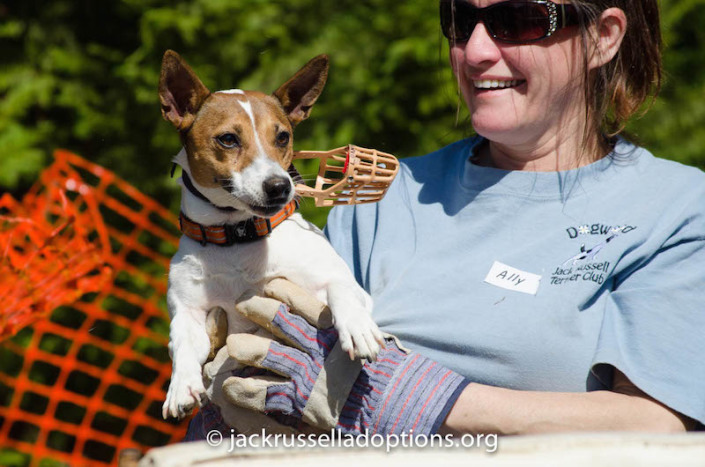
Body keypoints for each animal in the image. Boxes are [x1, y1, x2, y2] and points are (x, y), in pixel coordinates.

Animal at [157, 50, 382, 420]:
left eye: (283, 137)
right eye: (228, 139)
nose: (279, 186)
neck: (238, 235)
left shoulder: (342, 287)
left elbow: (341, 289)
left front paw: (358, 328)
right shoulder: (189, 310)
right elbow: (184, 342)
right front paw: (180, 386)